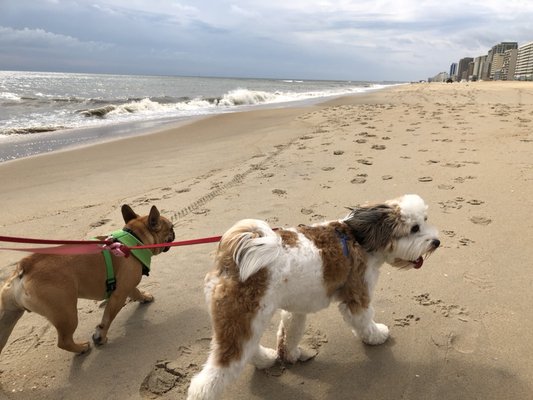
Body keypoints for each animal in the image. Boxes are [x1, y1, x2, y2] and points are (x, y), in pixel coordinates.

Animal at [0, 205, 174, 354]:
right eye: (171, 227)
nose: (174, 232)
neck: (135, 238)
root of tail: (26, 266)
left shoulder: (127, 286)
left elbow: (136, 292)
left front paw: (144, 297)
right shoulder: (119, 294)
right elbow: (107, 317)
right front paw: (100, 337)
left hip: (8, 317)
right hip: (66, 313)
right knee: (63, 341)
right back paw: (81, 348)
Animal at [189, 195, 438, 400]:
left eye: (426, 220)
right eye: (415, 228)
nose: (436, 242)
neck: (361, 238)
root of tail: (230, 259)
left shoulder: (295, 309)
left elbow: (290, 332)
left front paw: (290, 354)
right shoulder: (357, 296)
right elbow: (364, 321)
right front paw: (376, 336)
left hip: (243, 323)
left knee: (246, 350)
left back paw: (266, 358)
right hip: (240, 320)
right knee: (210, 379)